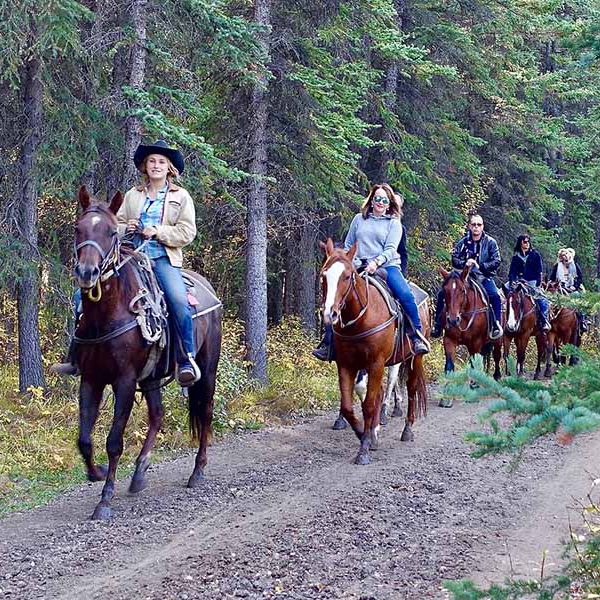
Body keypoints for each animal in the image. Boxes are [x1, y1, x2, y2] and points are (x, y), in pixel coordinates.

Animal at [70, 189, 220, 520]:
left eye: (111, 232)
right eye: (78, 229)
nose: (87, 273)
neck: (108, 314)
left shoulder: (125, 380)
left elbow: (114, 441)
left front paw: (104, 500)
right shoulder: (90, 379)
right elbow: (84, 439)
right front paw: (97, 472)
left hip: (207, 368)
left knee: (204, 411)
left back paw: (198, 472)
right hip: (151, 377)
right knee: (157, 415)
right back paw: (139, 473)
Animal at [318, 238, 426, 464]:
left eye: (347, 276)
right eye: (324, 275)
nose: (330, 314)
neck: (361, 318)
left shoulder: (376, 363)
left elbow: (368, 404)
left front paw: (364, 449)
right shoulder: (346, 364)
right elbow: (348, 406)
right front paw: (363, 433)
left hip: (414, 358)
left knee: (411, 389)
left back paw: (407, 430)